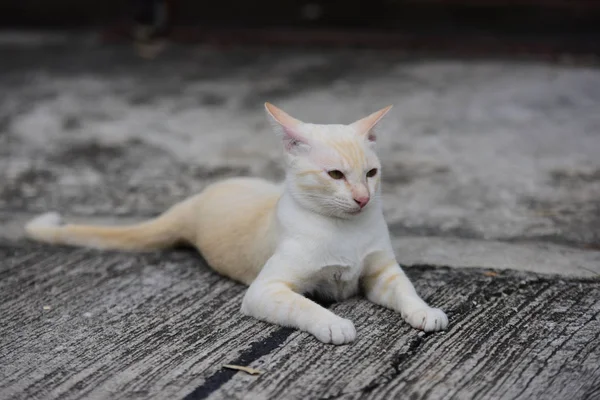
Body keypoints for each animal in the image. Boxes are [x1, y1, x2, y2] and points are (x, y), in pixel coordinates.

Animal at [27, 103, 450, 344]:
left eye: (372, 173)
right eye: (335, 174)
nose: (363, 198)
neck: (345, 228)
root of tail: (197, 201)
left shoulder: (381, 273)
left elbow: (406, 290)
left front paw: (424, 311)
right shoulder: (266, 290)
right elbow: (304, 305)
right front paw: (333, 324)